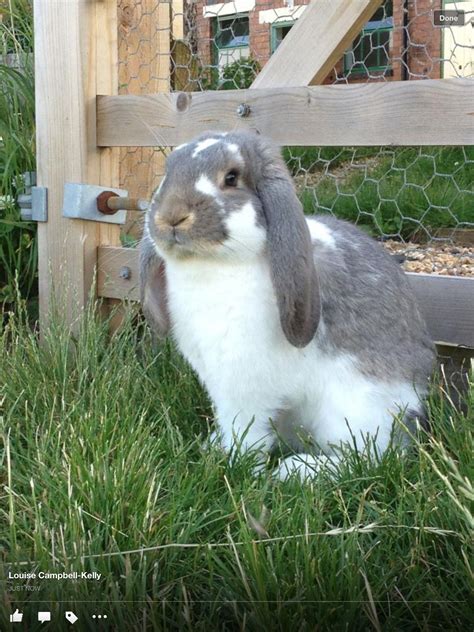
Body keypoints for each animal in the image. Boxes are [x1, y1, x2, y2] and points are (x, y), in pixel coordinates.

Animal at [138, 132, 436, 478]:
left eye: (231, 177)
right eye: (167, 172)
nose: (171, 216)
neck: (209, 265)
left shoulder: (242, 385)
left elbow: (246, 431)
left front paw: (238, 466)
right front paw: (216, 449)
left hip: (356, 409)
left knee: (367, 457)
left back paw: (295, 471)